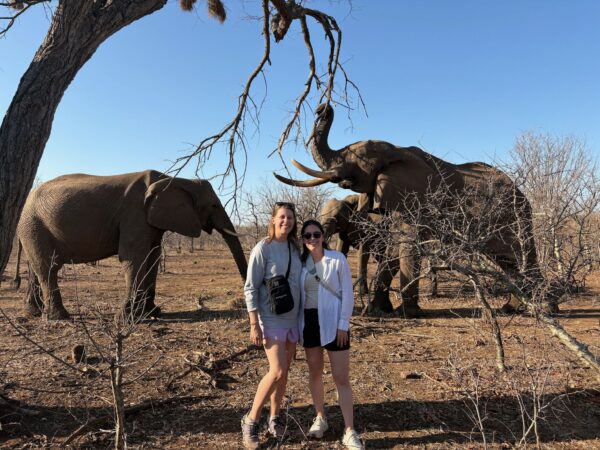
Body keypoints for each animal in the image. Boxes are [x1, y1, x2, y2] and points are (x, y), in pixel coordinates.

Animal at [16, 170, 247, 320]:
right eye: (213, 205)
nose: (244, 305)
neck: (176, 180)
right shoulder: (134, 213)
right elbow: (134, 257)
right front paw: (128, 319)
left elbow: (153, 257)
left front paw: (153, 313)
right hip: (33, 223)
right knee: (48, 267)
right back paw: (59, 317)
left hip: (32, 227)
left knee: (36, 267)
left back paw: (33, 313)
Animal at [274, 103, 552, 314]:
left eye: (356, 161)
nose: (322, 107)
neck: (395, 151)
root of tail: (522, 195)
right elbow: (393, 248)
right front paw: (379, 310)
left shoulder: (416, 202)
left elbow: (407, 245)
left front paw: (406, 313)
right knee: (509, 262)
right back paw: (514, 308)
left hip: (515, 218)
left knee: (520, 257)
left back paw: (543, 309)